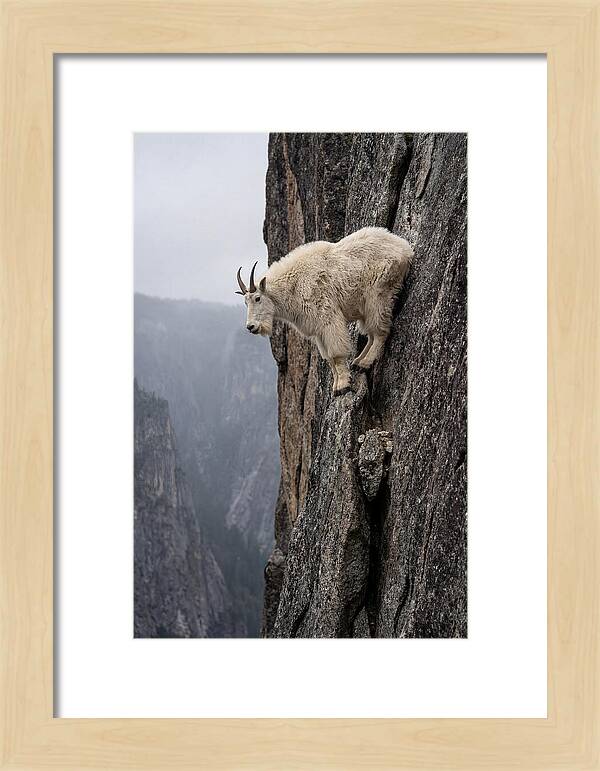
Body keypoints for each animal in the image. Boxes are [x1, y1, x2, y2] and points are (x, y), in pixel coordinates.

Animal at [235, 227, 413, 394]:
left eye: (257, 298)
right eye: (245, 302)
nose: (251, 327)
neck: (293, 286)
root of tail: (405, 248)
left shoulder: (328, 318)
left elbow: (336, 354)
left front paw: (343, 386)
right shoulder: (318, 330)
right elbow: (328, 358)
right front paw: (336, 385)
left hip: (378, 294)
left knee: (380, 331)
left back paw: (365, 363)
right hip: (365, 306)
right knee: (371, 333)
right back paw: (357, 362)